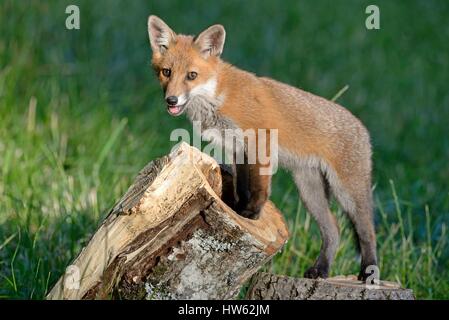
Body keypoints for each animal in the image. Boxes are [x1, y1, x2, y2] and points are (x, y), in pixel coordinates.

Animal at [146, 15, 374, 282]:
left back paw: (369, 271)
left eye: (191, 75)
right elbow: (242, 185)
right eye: (167, 72)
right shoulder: (236, 148)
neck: (218, 97)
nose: (171, 100)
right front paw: (238, 208)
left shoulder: (259, 142)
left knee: (367, 231)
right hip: (310, 192)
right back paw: (321, 270)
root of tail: (363, 129)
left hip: (348, 192)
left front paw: (252, 213)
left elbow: (259, 186)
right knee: (334, 229)